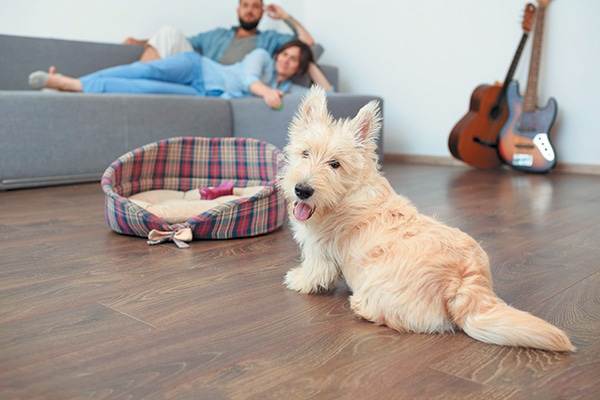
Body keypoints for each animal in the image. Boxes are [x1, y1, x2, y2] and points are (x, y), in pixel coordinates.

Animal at [278, 86, 576, 352]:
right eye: (305, 153)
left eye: (335, 164)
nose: (302, 190)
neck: (348, 193)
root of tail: (463, 281)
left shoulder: (319, 250)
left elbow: (313, 271)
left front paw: (297, 279)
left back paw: (363, 307)